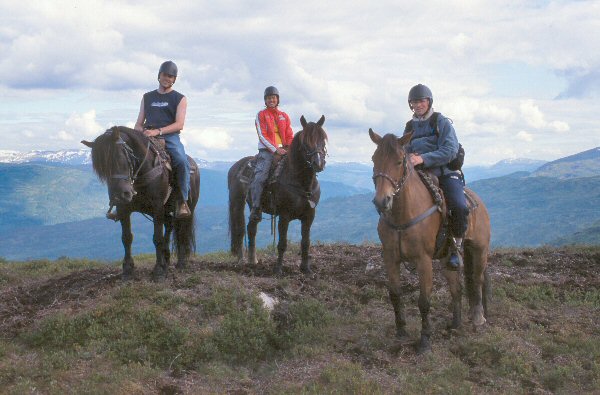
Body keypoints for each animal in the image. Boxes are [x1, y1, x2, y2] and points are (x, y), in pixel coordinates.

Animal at [81, 125, 202, 280]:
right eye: (102, 168)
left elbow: (157, 238)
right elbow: (127, 237)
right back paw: (166, 259)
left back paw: (181, 262)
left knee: (181, 231)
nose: (119, 195)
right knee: (170, 227)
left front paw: (158, 270)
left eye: (118, 157)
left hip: (186, 209)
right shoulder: (124, 209)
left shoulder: (157, 208)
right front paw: (128, 269)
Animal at [227, 116, 328, 274]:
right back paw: (241, 261)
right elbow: (282, 243)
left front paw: (306, 269)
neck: (301, 183)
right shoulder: (284, 215)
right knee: (240, 230)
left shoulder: (309, 215)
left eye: (323, 140)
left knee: (251, 228)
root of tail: (235, 167)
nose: (318, 163)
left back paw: (253, 261)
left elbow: (305, 242)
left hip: (254, 207)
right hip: (237, 204)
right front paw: (279, 269)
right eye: (305, 142)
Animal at [368, 130, 490, 356]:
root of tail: (479, 202)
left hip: (479, 250)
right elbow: (395, 294)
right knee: (457, 288)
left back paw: (478, 318)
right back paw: (455, 324)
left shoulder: (423, 260)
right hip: (446, 258)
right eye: (374, 159)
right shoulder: (390, 258)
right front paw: (401, 332)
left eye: (400, 161)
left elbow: (424, 301)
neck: (403, 214)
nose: (382, 201)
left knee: (477, 281)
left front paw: (425, 341)